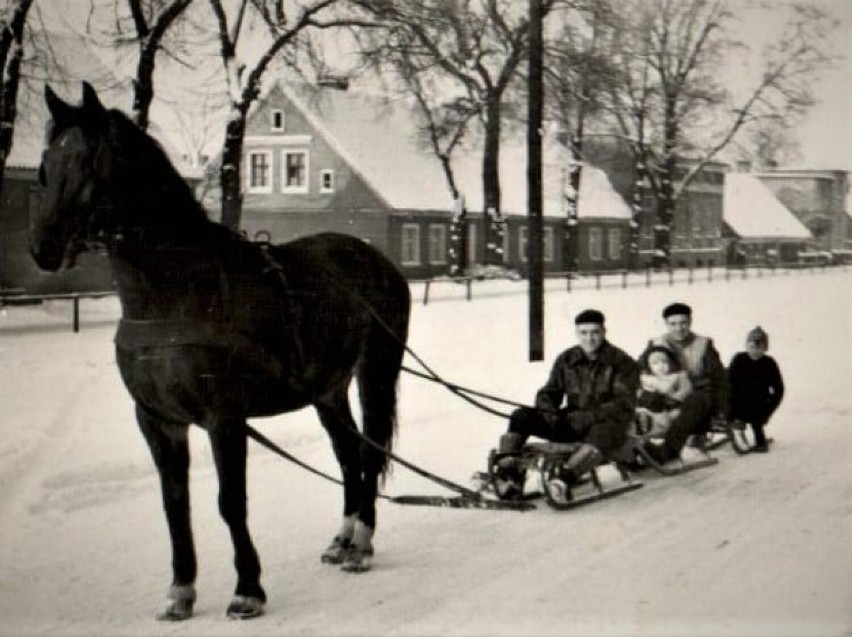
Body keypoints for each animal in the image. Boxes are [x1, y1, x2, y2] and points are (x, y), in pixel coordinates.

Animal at [35, 82, 414, 620]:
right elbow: (175, 505)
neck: (176, 292)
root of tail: (375, 259)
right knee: (347, 456)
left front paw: (247, 589)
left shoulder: (224, 417)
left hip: (376, 372)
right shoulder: (157, 420)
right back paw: (341, 539)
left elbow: (230, 501)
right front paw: (180, 591)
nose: (43, 247)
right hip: (329, 388)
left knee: (369, 450)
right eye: (46, 163)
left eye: (88, 160)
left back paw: (360, 543)